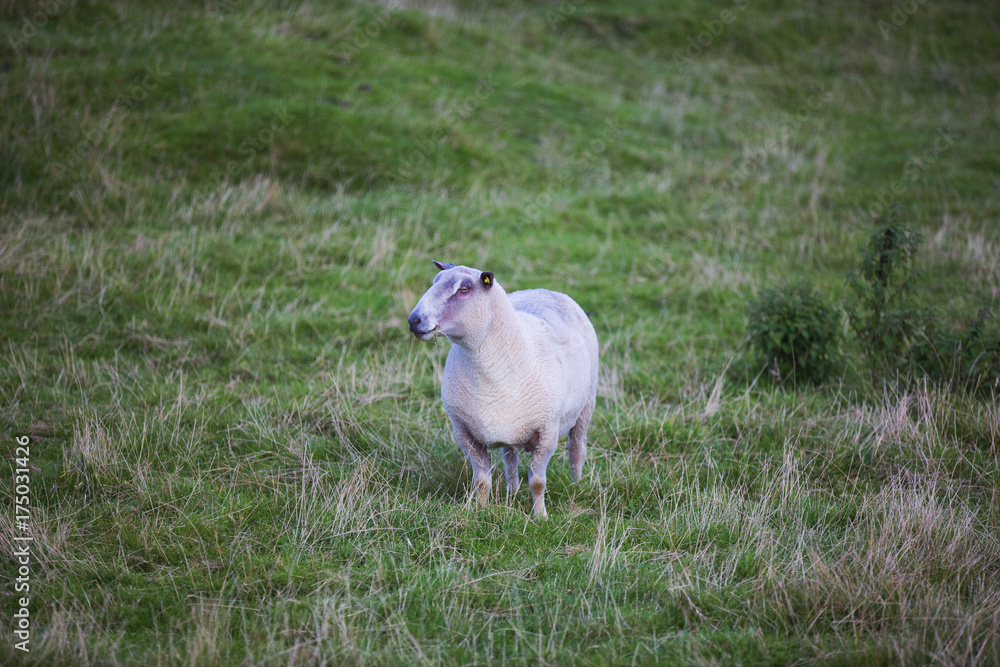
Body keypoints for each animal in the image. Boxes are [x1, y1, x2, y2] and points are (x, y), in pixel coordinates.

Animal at [407, 261, 599, 518]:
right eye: (435, 281)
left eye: (464, 289)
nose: (414, 320)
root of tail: (543, 290)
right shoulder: (464, 432)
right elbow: (481, 480)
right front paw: (479, 510)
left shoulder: (547, 432)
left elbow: (537, 482)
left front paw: (541, 517)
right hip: (511, 426)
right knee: (510, 457)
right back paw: (512, 491)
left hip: (587, 403)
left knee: (577, 448)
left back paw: (576, 486)